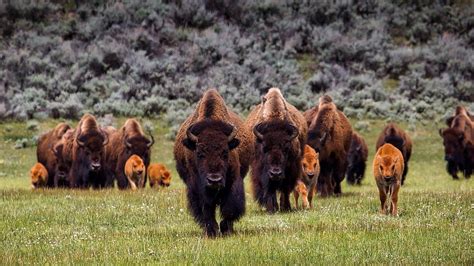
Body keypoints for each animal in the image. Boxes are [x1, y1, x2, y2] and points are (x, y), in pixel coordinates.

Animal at [173, 89, 252, 237]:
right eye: (199, 153)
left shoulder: (233, 181)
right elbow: (206, 209)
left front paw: (225, 229)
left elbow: (229, 208)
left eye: (225, 152)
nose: (214, 180)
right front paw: (212, 231)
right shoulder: (197, 186)